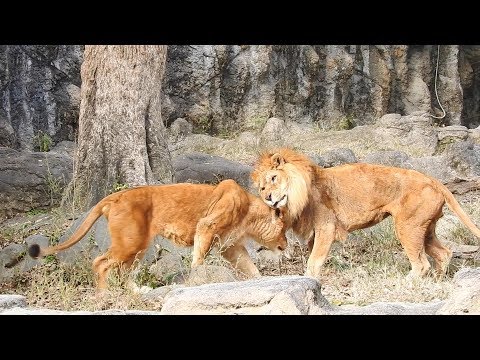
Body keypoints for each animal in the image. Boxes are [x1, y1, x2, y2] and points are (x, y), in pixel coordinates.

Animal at [28, 180, 286, 290]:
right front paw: (197, 278)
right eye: (284, 230)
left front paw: (261, 280)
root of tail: (115, 196)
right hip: (130, 242)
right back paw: (103, 295)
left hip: (138, 247)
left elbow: (250, 267)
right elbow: (199, 258)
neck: (250, 214)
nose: (286, 243)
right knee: (100, 262)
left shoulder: (232, 247)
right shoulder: (206, 226)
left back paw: (134, 291)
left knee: (122, 271)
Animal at [251, 148, 480, 280]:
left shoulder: (326, 228)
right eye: (261, 188)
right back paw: (438, 280)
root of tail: (432, 179)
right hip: (424, 227)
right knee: (444, 253)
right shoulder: (314, 235)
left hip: (407, 227)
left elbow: (314, 261)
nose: (268, 197)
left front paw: (311, 280)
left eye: (273, 178)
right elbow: (313, 258)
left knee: (422, 264)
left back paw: (408, 282)